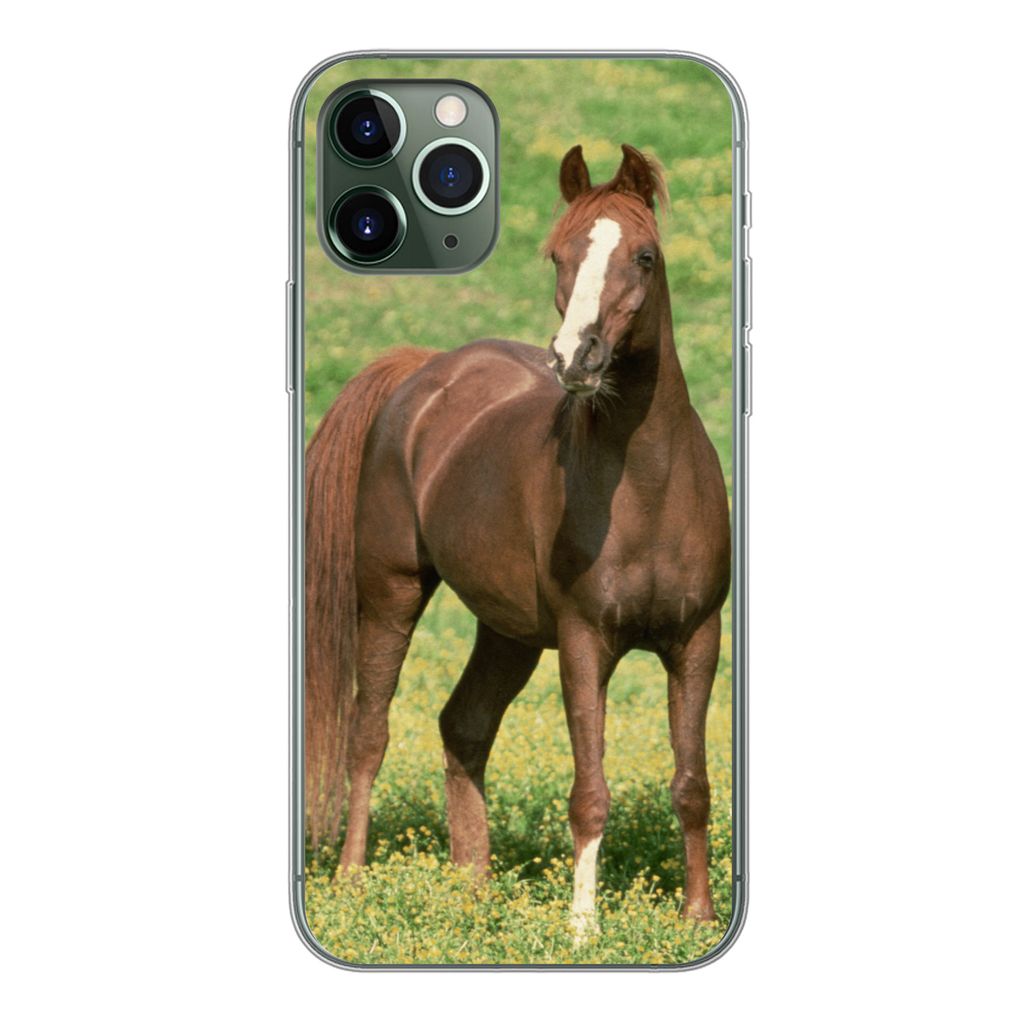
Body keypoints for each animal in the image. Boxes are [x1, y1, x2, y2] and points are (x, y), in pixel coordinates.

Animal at [305, 143, 731, 935]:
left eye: (647, 256)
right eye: (558, 254)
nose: (575, 359)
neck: (650, 490)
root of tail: (424, 369)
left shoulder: (698, 640)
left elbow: (692, 783)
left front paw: (696, 917)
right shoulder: (586, 643)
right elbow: (590, 789)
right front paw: (583, 927)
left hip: (508, 631)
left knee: (463, 727)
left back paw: (473, 889)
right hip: (391, 595)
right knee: (369, 733)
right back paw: (350, 880)